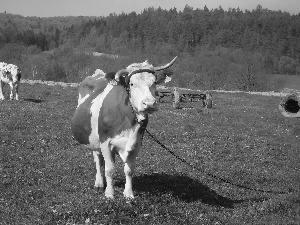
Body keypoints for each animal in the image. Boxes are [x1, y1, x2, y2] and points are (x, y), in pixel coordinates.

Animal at [71, 56, 177, 199]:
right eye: (131, 84)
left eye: (154, 82)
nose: (149, 103)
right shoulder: (105, 142)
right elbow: (110, 169)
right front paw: (109, 194)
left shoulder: (136, 144)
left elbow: (129, 170)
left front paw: (128, 194)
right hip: (93, 138)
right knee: (98, 160)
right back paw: (99, 183)